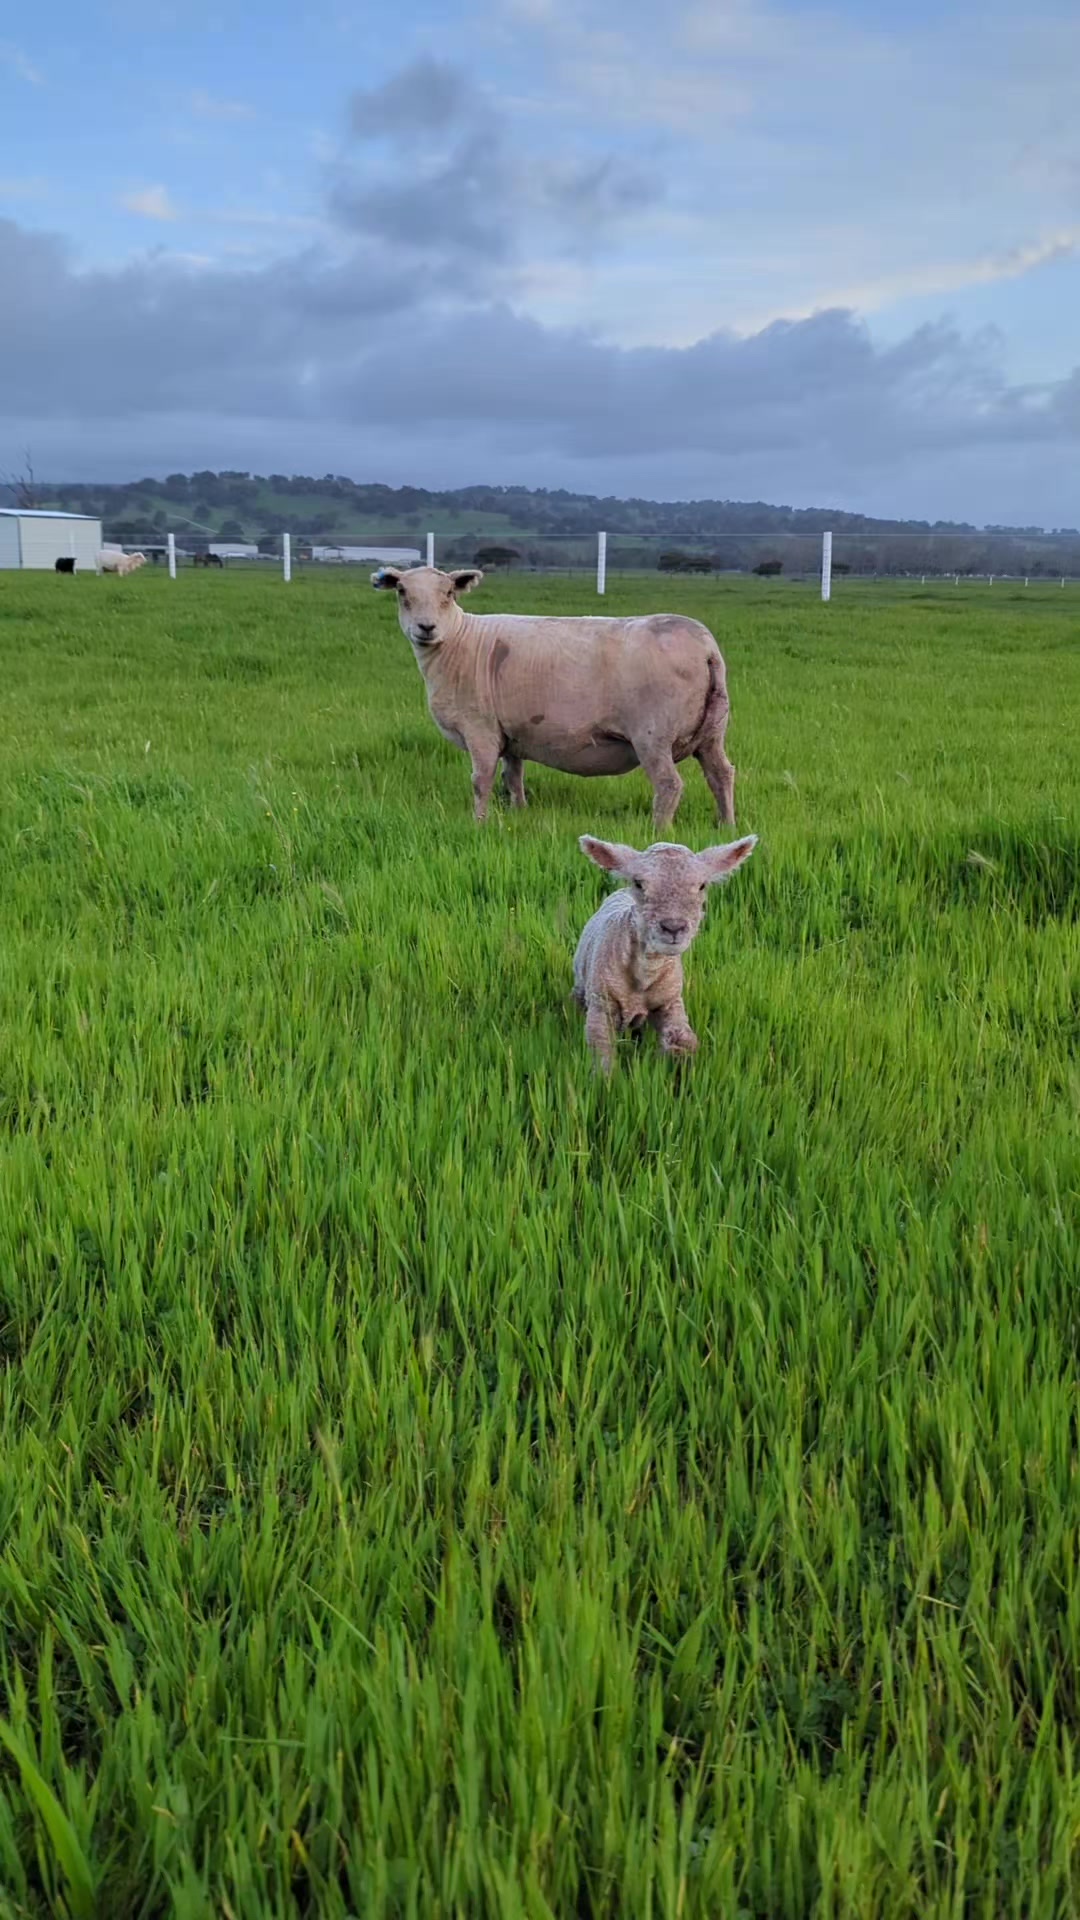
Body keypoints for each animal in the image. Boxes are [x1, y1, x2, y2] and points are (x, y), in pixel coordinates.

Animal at [371, 564, 738, 829]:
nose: (426, 627)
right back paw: (727, 827)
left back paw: (659, 831)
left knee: (669, 785)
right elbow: (512, 777)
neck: (459, 642)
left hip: (653, 734)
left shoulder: (480, 728)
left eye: (448, 593)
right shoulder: (511, 733)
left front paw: (479, 823)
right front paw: (519, 813)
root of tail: (706, 648)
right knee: (721, 774)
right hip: (713, 731)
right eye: (402, 592)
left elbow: (481, 780)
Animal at [573, 833, 757, 1073]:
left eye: (702, 885)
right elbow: (603, 1059)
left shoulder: (670, 1002)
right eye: (639, 883)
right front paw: (605, 1081)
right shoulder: (601, 1006)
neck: (645, 973)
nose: (673, 927)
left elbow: (683, 1041)